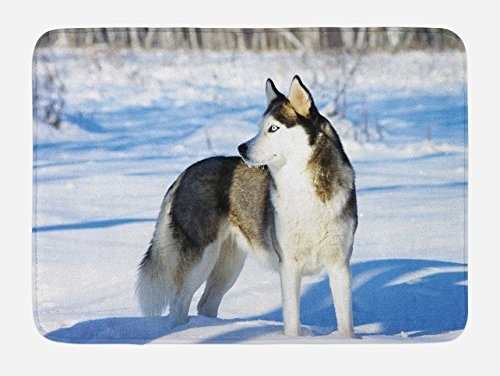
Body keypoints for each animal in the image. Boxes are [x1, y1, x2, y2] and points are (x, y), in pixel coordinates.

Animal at [136, 75, 356, 336]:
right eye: (260, 128)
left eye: (273, 128)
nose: (241, 148)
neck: (303, 191)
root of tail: (187, 172)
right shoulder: (288, 264)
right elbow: (292, 321)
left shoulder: (339, 264)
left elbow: (346, 321)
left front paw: (348, 339)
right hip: (201, 259)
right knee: (179, 304)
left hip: (229, 264)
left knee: (205, 303)